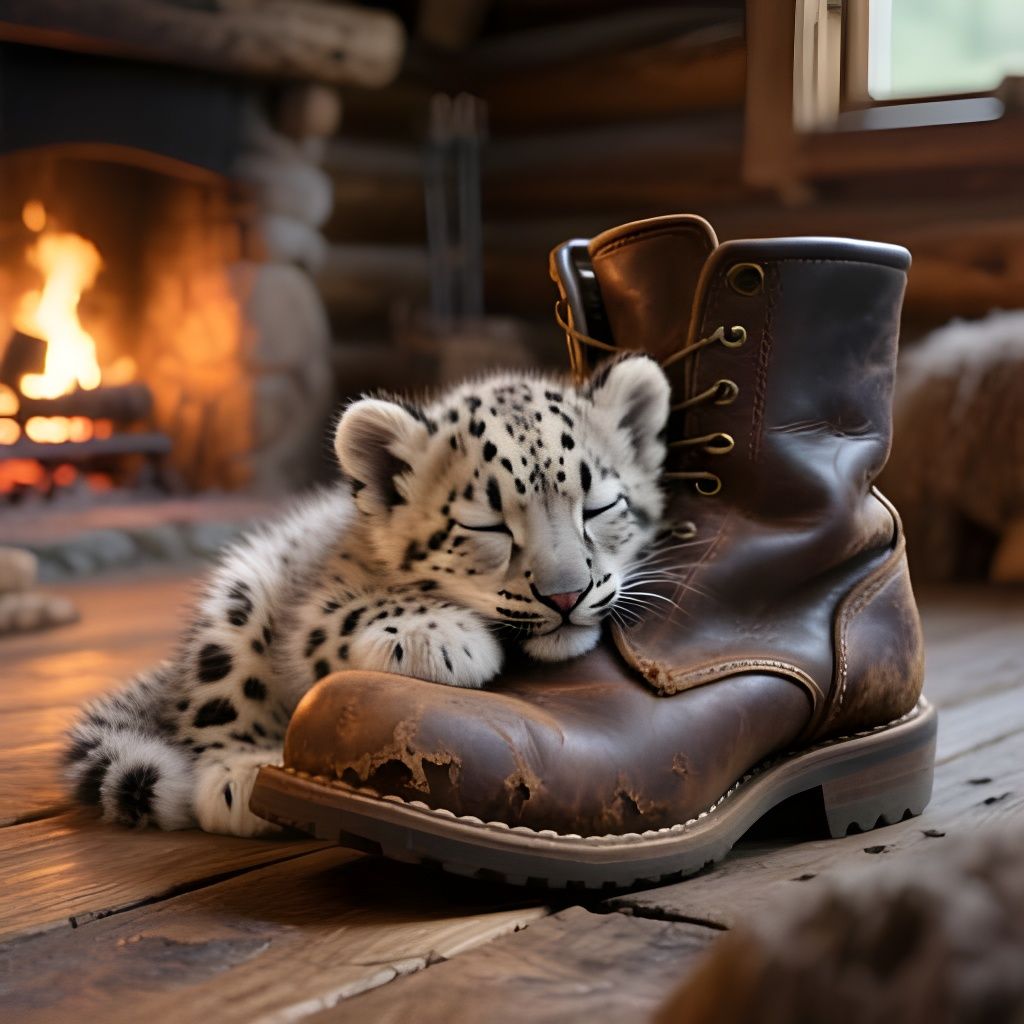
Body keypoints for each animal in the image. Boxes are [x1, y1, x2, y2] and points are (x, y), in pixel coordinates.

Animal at [63, 353, 671, 837]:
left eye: (599, 506)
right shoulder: (312, 607)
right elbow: (346, 611)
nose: (566, 595)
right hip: (237, 600)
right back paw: (241, 777)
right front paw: (442, 639)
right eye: (488, 525)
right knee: (214, 696)